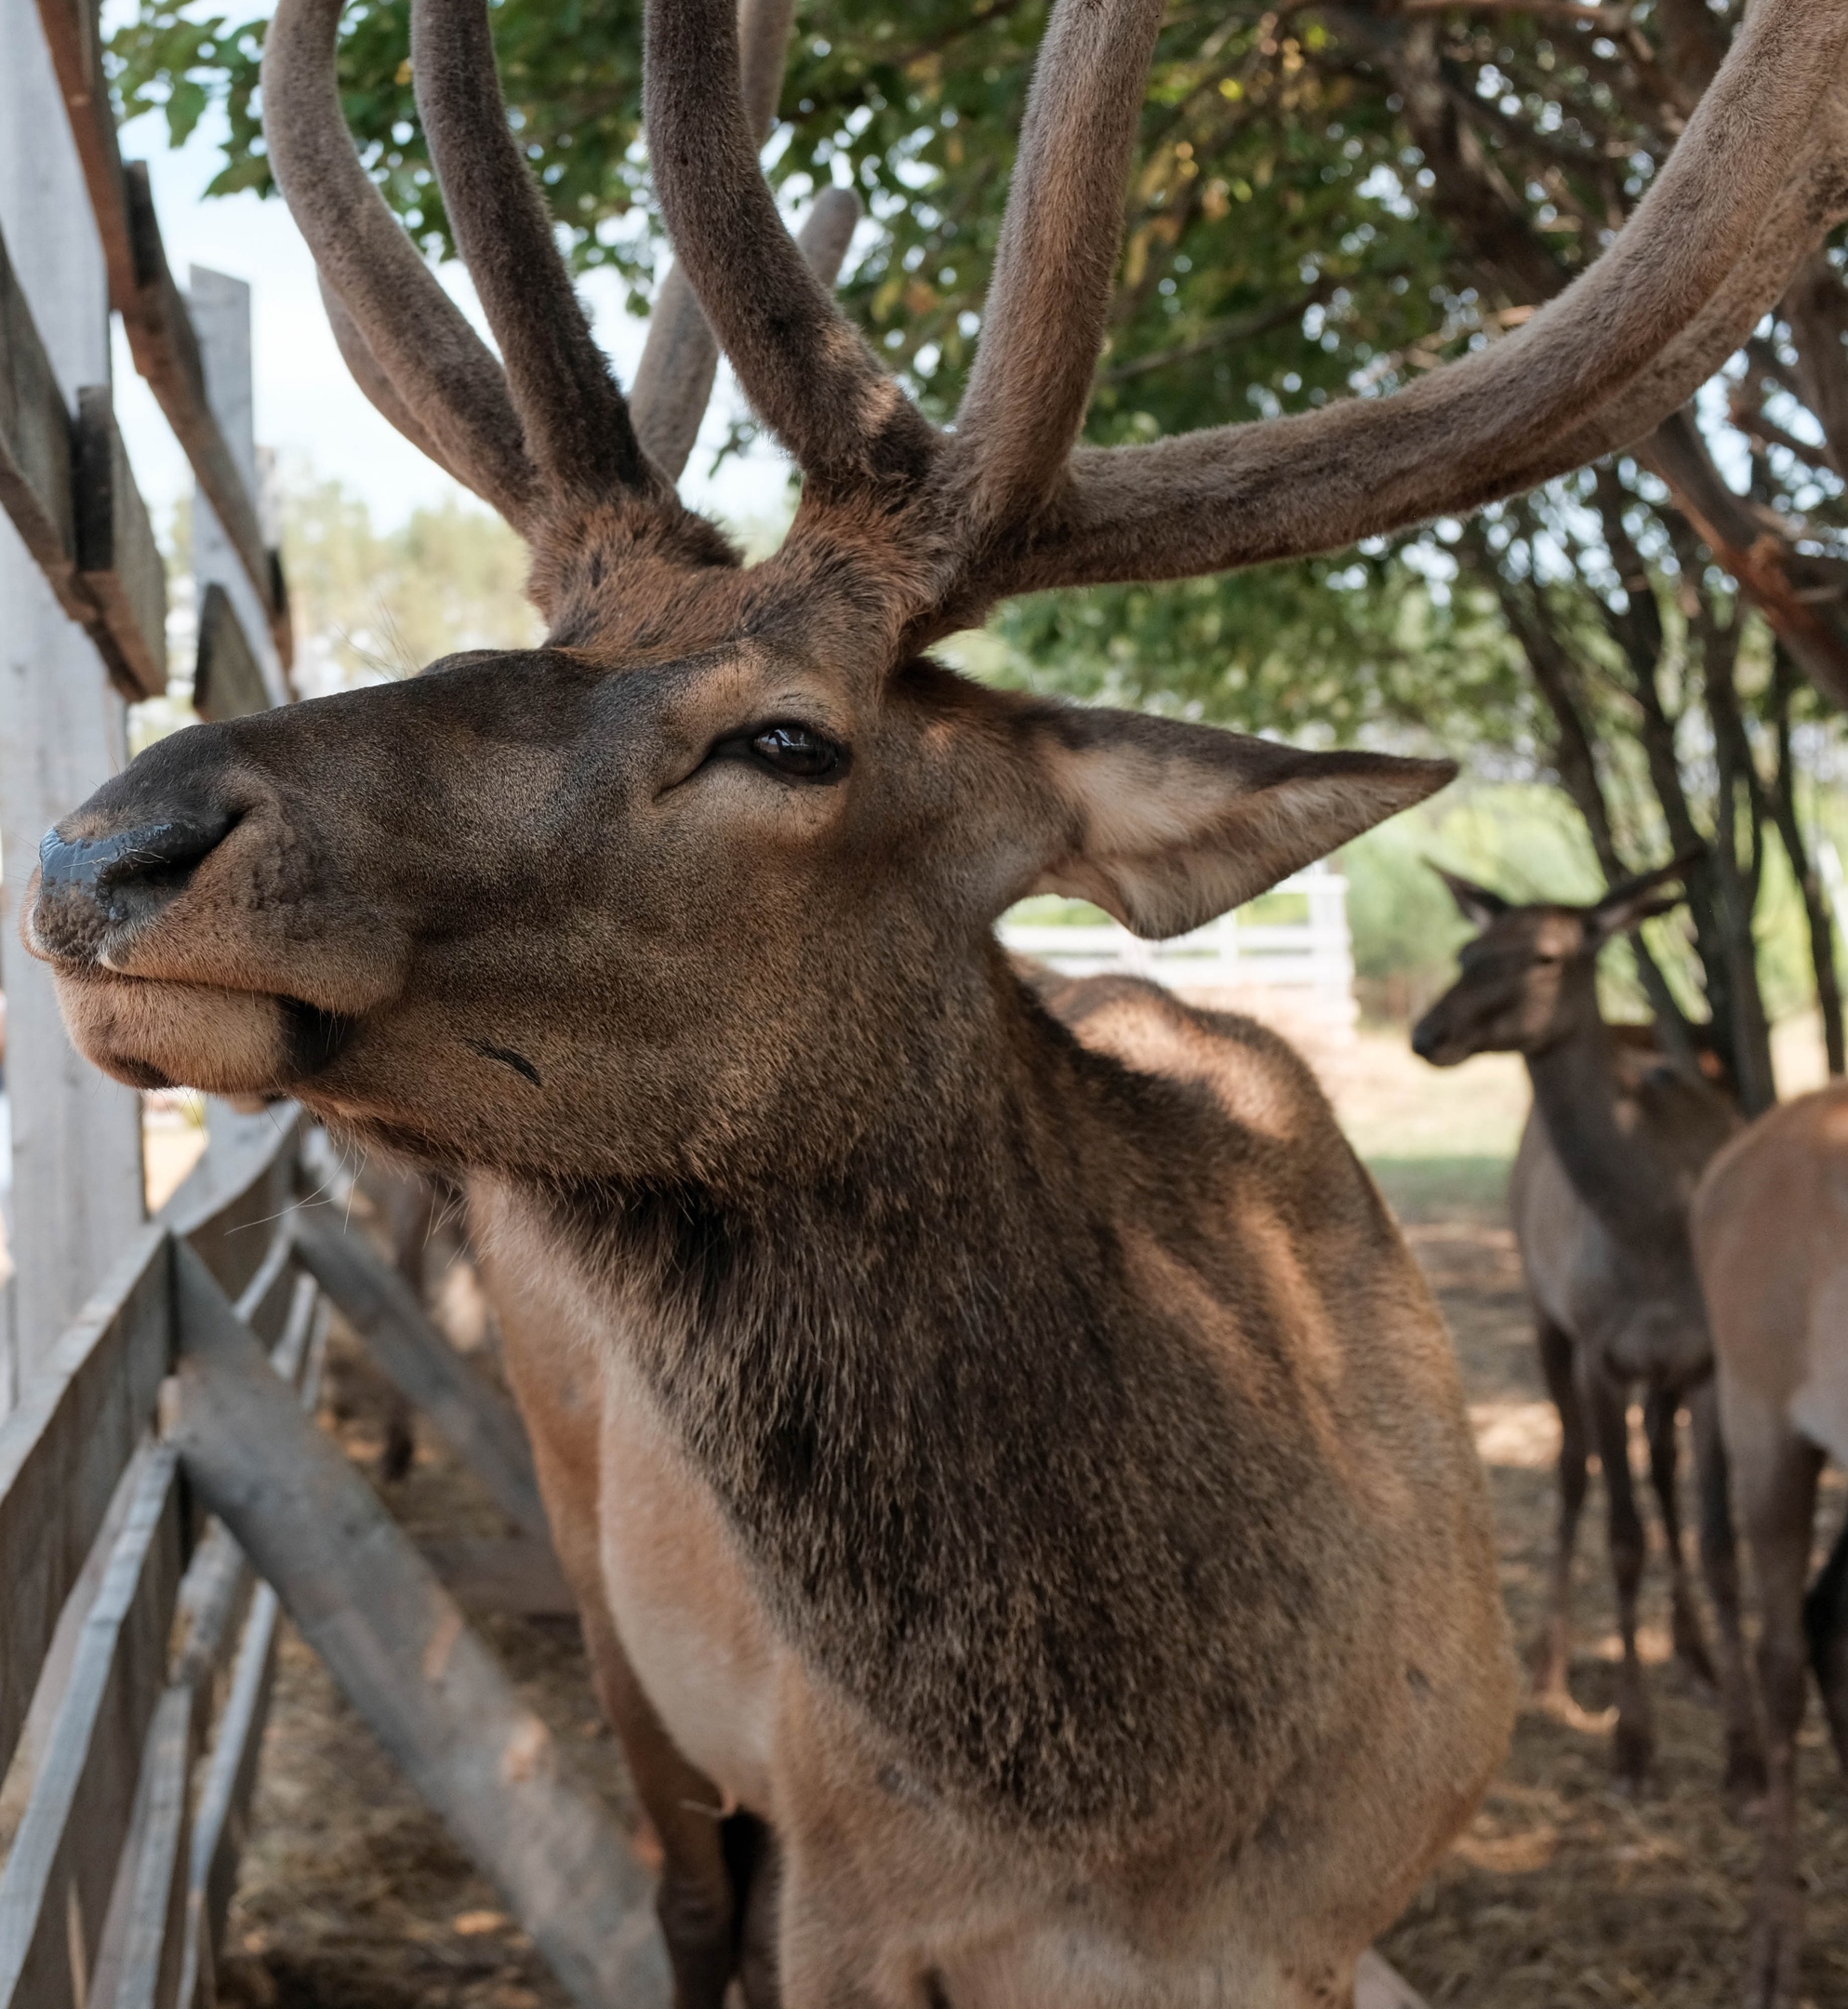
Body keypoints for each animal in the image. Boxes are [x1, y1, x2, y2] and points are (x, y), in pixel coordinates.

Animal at [1405, 856, 1751, 1800]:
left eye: (1546, 956)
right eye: (1468, 949)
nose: (1426, 1033)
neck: (1654, 1233)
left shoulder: (1705, 1361)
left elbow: (1716, 1539)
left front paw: (1746, 1750)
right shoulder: (1598, 1346)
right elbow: (1620, 1534)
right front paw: (1632, 1744)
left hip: (1656, 1376)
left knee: (1660, 1468)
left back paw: (1695, 1657)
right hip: (1541, 1314)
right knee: (1570, 1467)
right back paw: (1551, 1663)